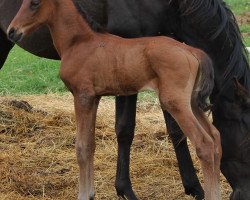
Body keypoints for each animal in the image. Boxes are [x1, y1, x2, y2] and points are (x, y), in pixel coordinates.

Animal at [0, 0, 250, 199]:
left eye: (34, 3)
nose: (12, 31)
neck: (81, 41)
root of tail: (194, 53)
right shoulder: (94, 98)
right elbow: (90, 145)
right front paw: (93, 193)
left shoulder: (83, 96)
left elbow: (85, 146)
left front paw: (91, 193)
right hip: (190, 103)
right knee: (214, 138)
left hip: (177, 102)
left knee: (205, 143)